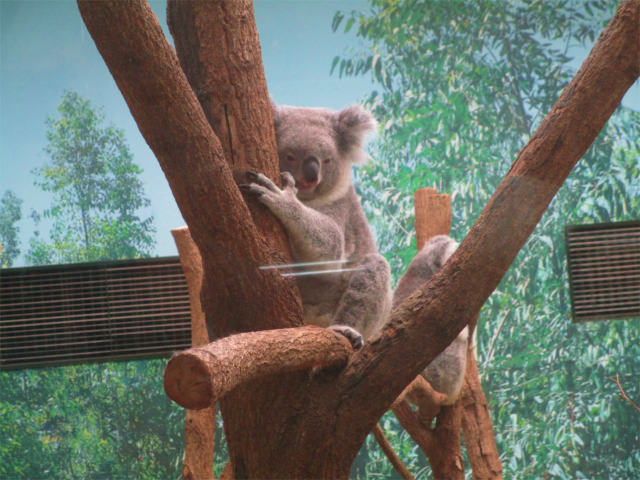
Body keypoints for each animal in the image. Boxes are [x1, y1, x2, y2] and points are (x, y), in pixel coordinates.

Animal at [241, 103, 468, 404]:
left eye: (326, 160)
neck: (309, 198)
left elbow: (331, 247)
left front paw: (280, 196)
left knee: (372, 272)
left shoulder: (341, 211)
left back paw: (344, 332)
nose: (311, 176)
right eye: (290, 156)